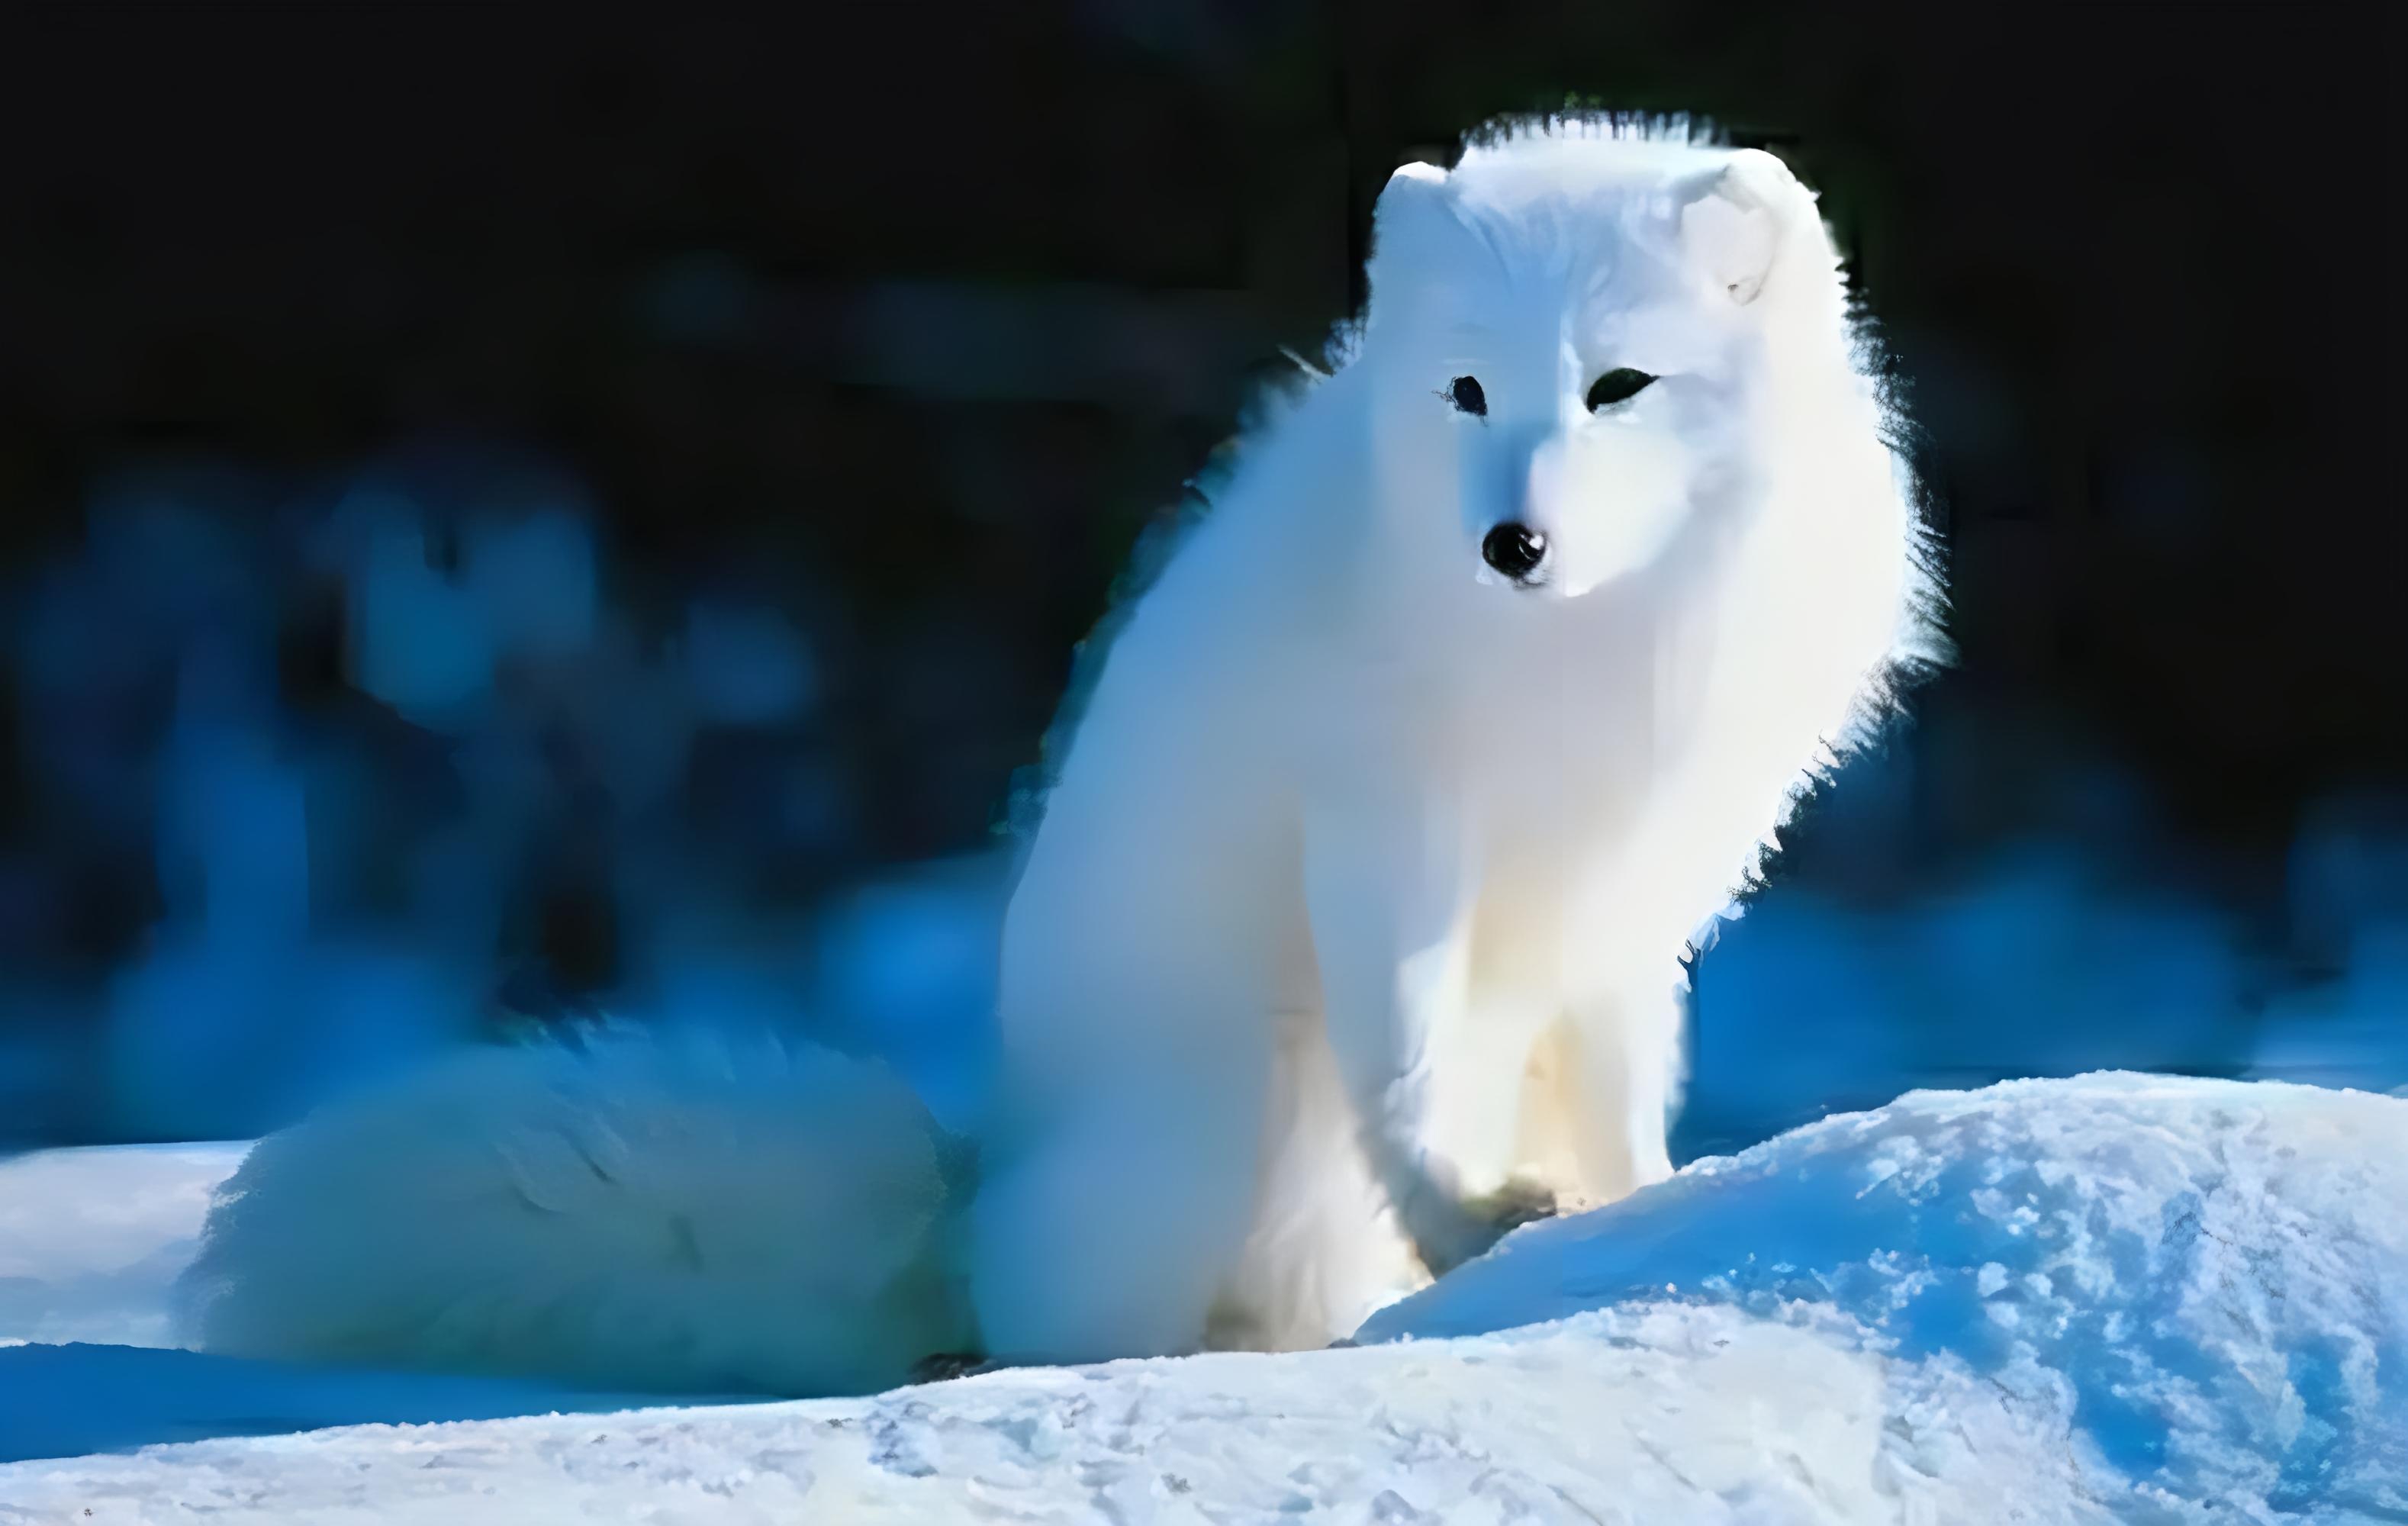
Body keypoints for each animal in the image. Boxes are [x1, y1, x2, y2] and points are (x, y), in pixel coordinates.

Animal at [174, 116, 1936, 1386]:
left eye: (1619, 385)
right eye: (1466, 391)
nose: (1511, 541)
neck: (1589, 650)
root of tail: (971, 1195)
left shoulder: (1635, 887)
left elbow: (1625, 1092)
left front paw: (1645, 1226)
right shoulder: (1384, 828)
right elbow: (1412, 1062)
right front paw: (1474, 1228)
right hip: (1220, 1100)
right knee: (1054, 1330)